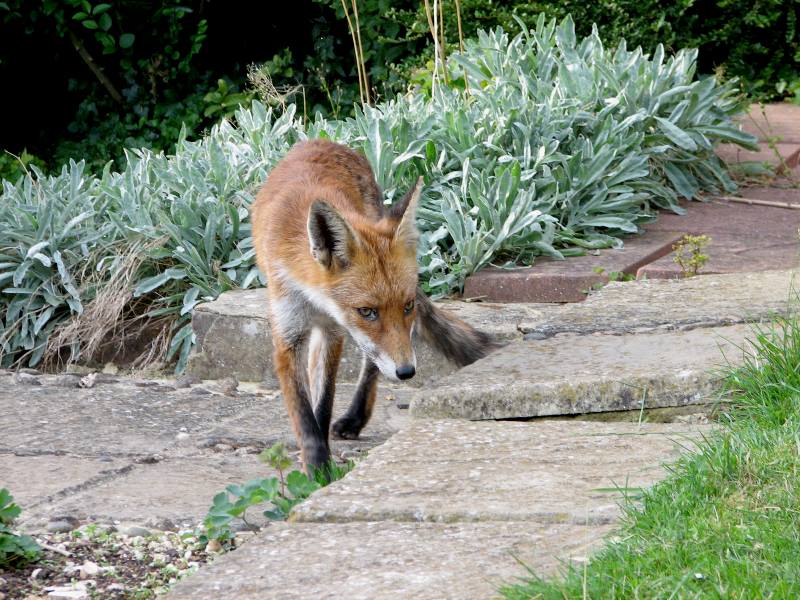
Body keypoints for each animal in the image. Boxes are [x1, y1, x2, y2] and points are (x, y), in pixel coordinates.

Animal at [253, 139, 496, 474]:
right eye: (367, 311)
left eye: (408, 306)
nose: (407, 372)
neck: (314, 298)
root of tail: (321, 141)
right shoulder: (289, 334)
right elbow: (304, 415)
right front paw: (316, 468)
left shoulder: (333, 330)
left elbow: (324, 402)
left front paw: (322, 471)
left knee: (371, 364)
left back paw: (356, 418)